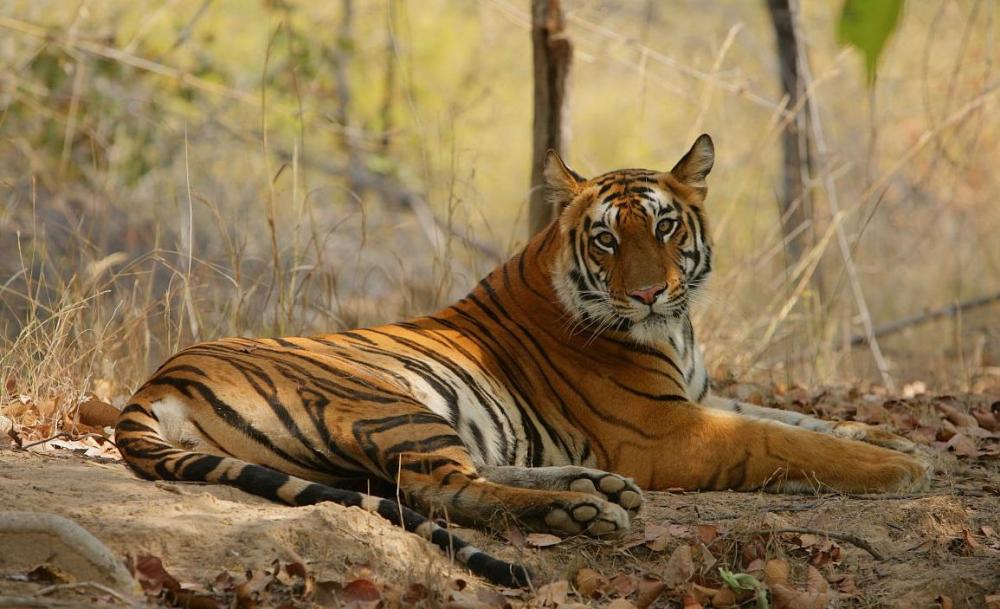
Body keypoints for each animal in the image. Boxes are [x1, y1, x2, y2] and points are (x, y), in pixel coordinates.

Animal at [115, 135, 928, 588]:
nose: (648, 291)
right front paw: (903, 468)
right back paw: (582, 507)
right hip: (389, 400)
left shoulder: (699, 396)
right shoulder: (670, 430)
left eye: (665, 226)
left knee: (453, 474)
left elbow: (796, 416)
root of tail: (158, 379)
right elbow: (784, 439)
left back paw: (596, 487)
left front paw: (896, 438)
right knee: (441, 487)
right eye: (606, 239)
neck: (676, 328)